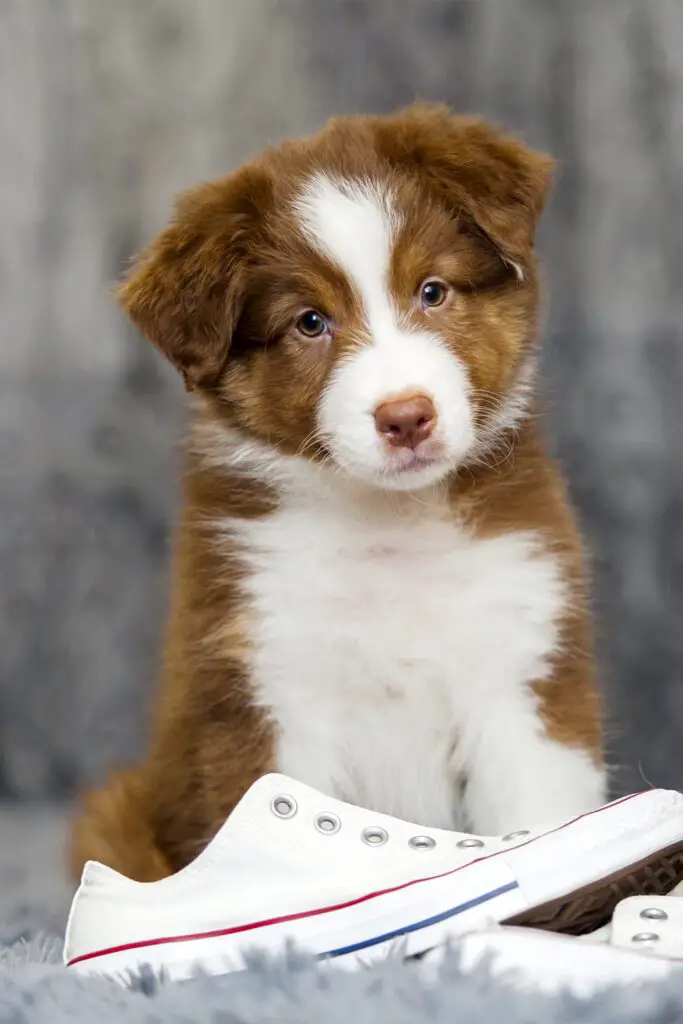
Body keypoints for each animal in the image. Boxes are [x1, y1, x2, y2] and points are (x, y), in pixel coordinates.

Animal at [72, 108, 606, 884]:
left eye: (432, 291)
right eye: (309, 323)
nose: (405, 416)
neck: (388, 524)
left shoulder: (522, 664)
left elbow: (538, 816)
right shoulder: (264, 685)